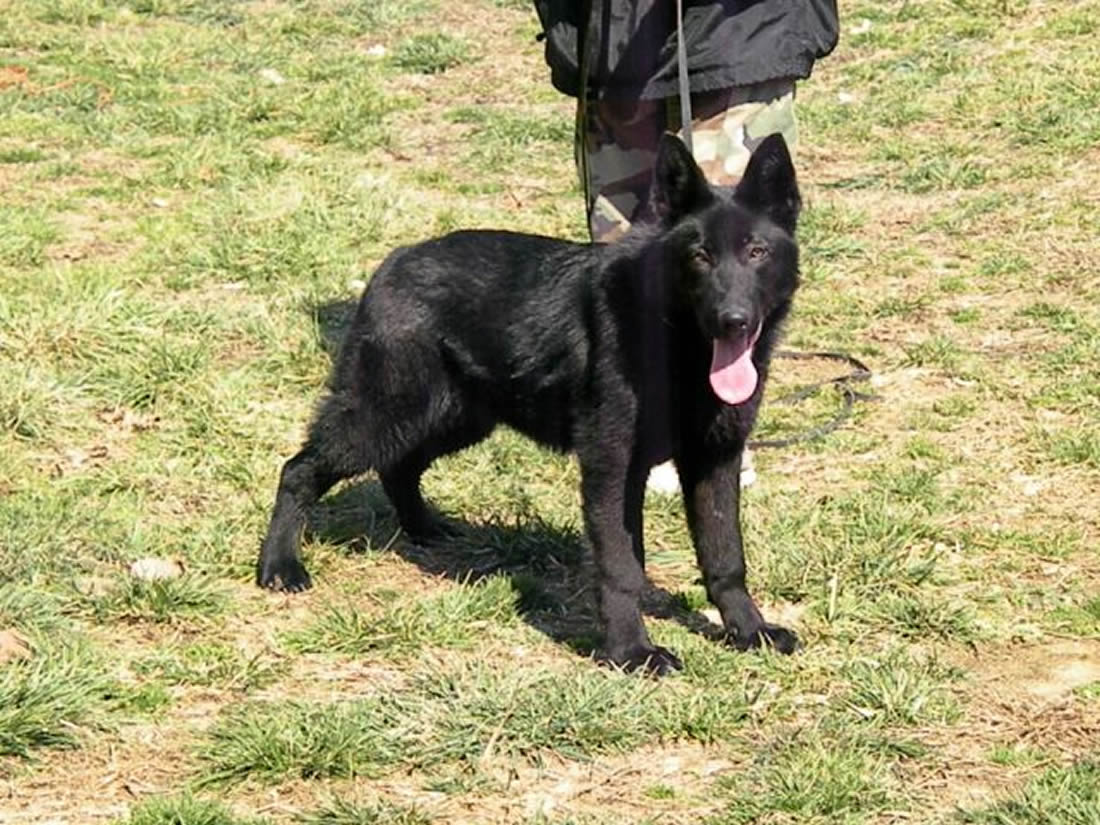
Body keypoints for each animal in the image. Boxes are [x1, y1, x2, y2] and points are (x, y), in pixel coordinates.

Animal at [256, 133, 802, 673]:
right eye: (699, 256)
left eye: (756, 251)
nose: (732, 320)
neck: (673, 342)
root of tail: (394, 261)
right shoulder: (612, 469)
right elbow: (620, 567)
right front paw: (631, 651)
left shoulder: (715, 461)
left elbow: (725, 557)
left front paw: (749, 630)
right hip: (383, 416)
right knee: (299, 470)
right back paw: (280, 565)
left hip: (451, 418)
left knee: (399, 467)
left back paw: (425, 528)